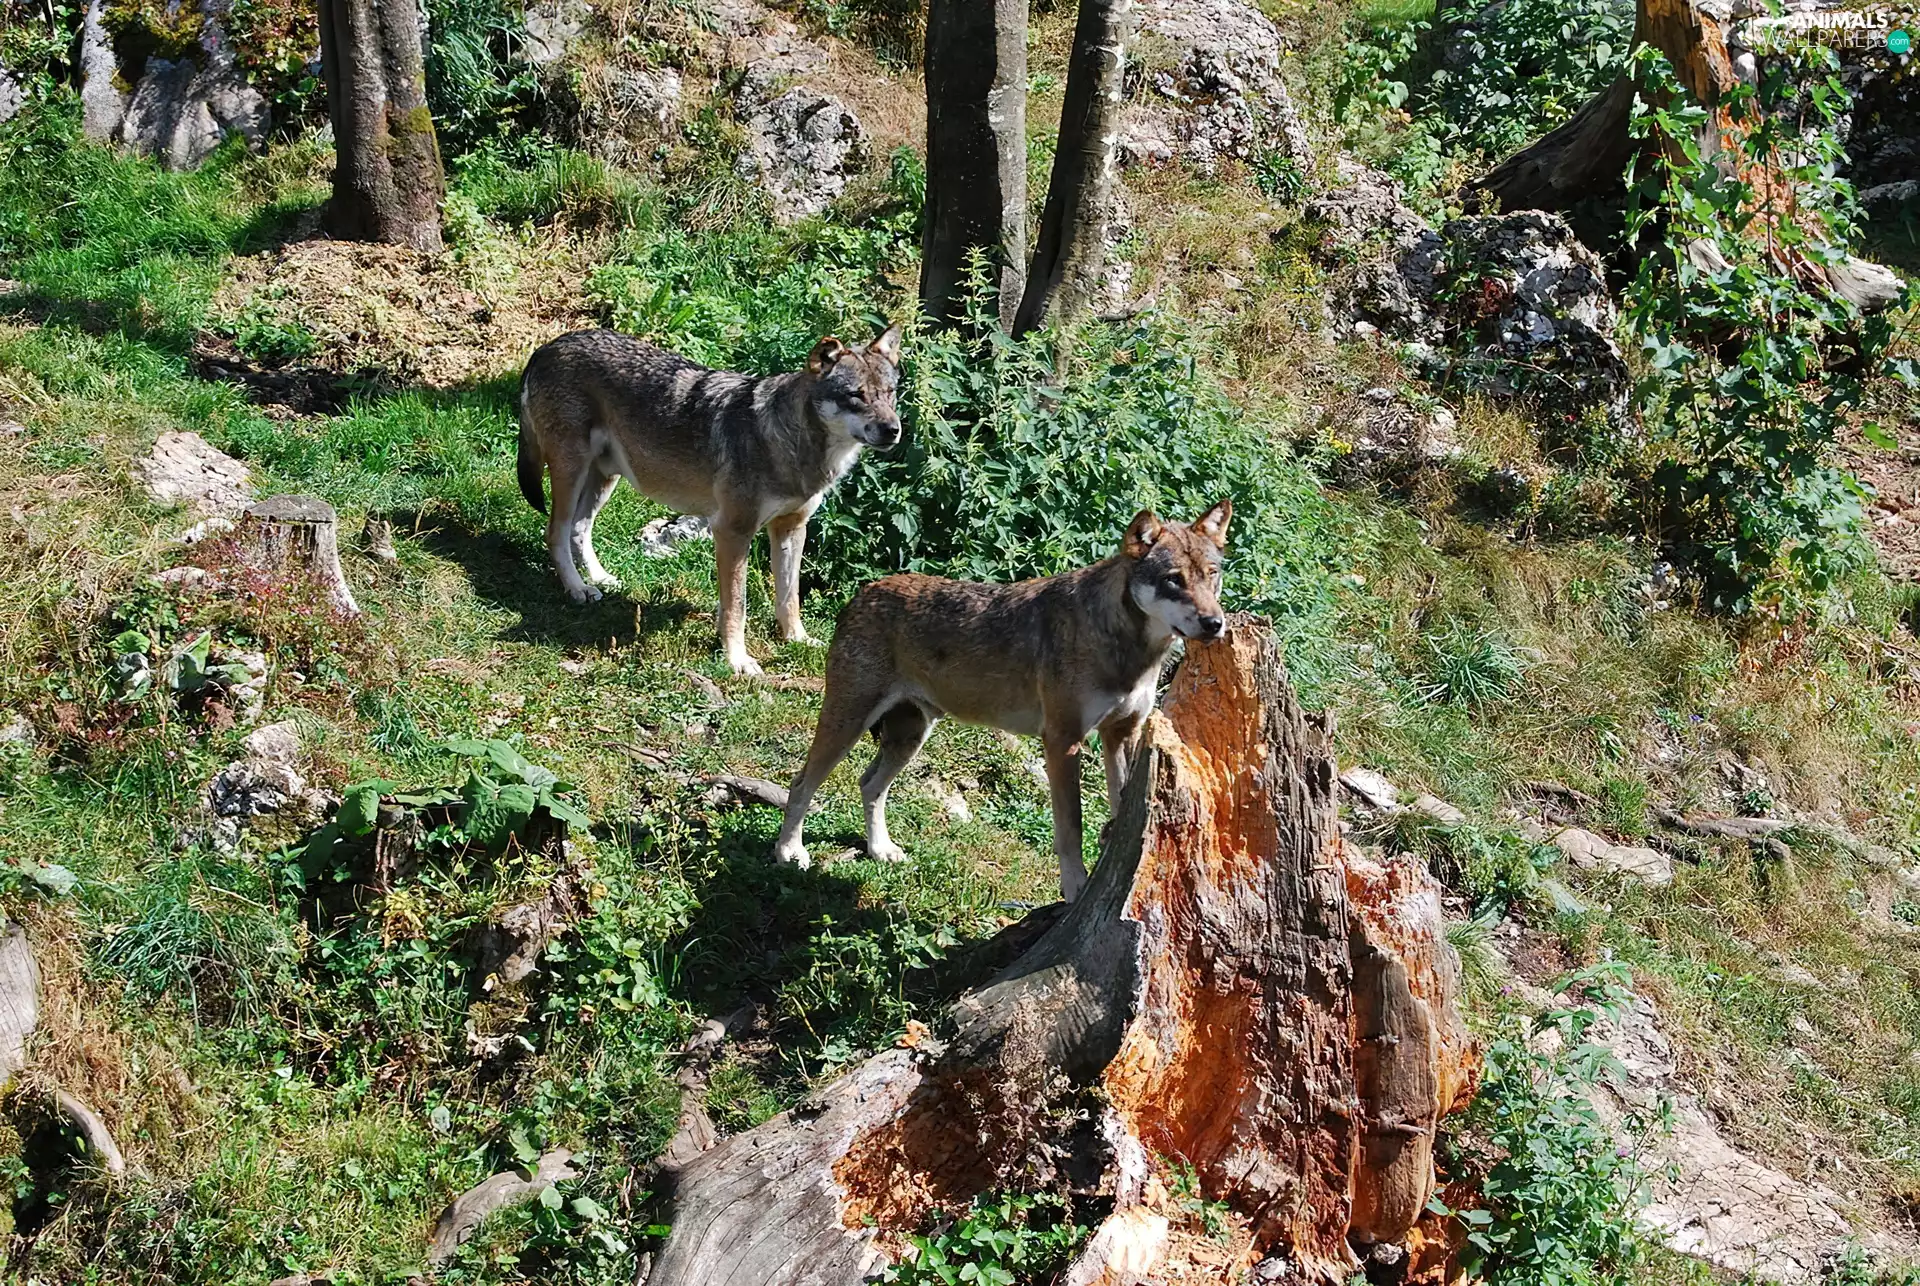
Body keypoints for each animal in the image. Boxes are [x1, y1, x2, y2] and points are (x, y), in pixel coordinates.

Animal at [516, 325, 904, 675]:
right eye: (856, 396)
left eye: (890, 393)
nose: (893, 430)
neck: (787, 442)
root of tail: (548, 345)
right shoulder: (733, 532)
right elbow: (737, 606)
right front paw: (738, 660)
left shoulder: (792, 529)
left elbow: (789, 597)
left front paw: (796, 639)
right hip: (572, 472)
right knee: (556, 531)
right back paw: (576, 589)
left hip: (606, 479)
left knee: (580, 528)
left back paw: (598, 580)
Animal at [772, 500, 1233, 902]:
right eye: (1173, 579)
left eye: (1212, 575)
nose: (1215, 623)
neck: (1128, 647)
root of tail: (863, 591)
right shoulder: (1062, 743)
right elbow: (1070, 828)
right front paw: (1075, 887)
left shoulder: (1122, 733)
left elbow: (1120, 806)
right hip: (848, 724)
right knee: (801, 783)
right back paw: (789, 853)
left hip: (909, 738)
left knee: (868, 784)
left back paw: (880, 849)